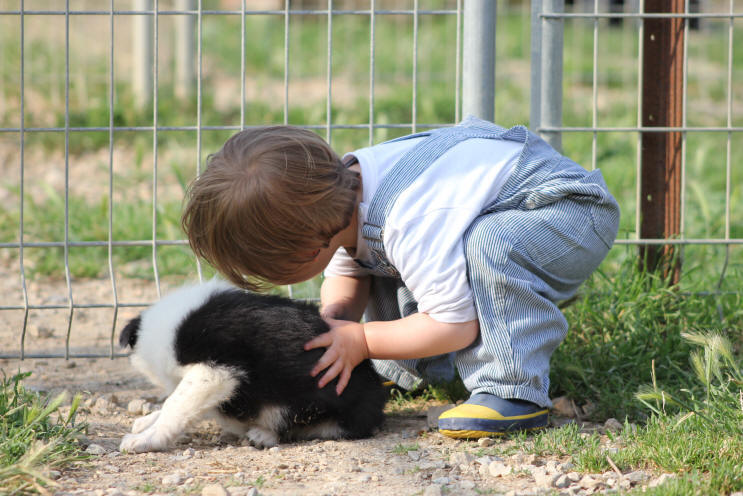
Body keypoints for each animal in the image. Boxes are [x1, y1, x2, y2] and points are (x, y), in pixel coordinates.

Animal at [119, 280, 386, 454]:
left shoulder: (216, 370)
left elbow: (177, 403)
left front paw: (147, 438)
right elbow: (179, 401)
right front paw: (149, 420)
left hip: (332, 409)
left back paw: (263, 434)